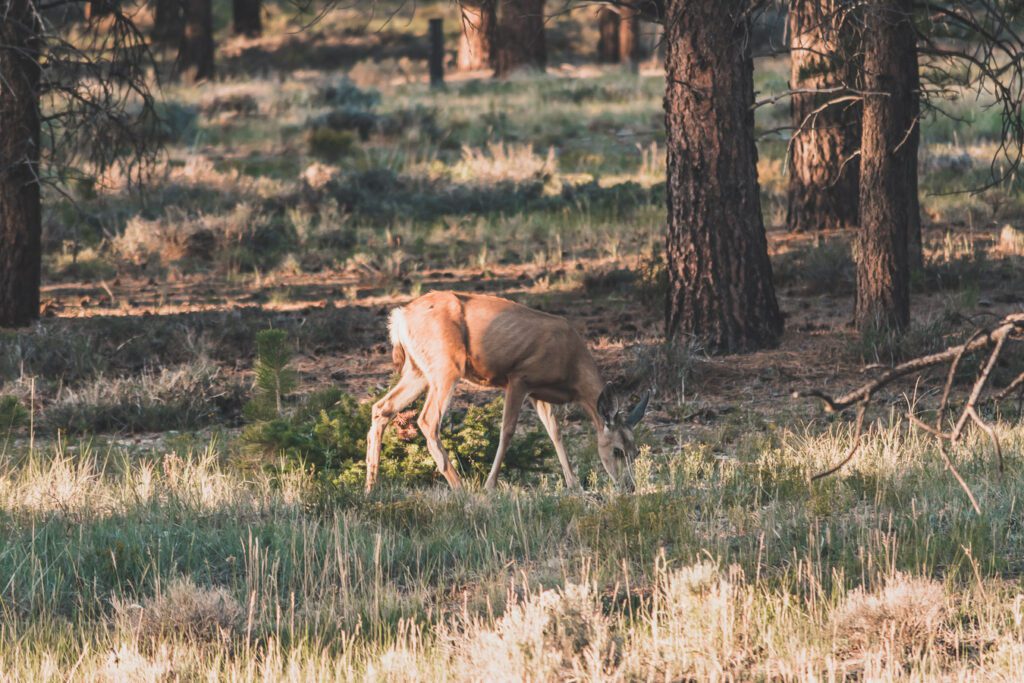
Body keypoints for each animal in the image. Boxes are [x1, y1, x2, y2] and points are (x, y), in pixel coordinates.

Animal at [362, 290, 647, 493]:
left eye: (635, 452)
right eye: (618, 451)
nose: (630, 487)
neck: (572, 369)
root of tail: (400, 316)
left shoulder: (537, 392)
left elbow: (555, 432)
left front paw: (574, 485)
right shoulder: (519, 377)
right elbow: (507, 432)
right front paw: (490, 486)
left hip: (417, 370)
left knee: (381, 408)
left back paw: (370, 486)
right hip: (446, 366)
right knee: (427, 419)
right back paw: (460, 487)